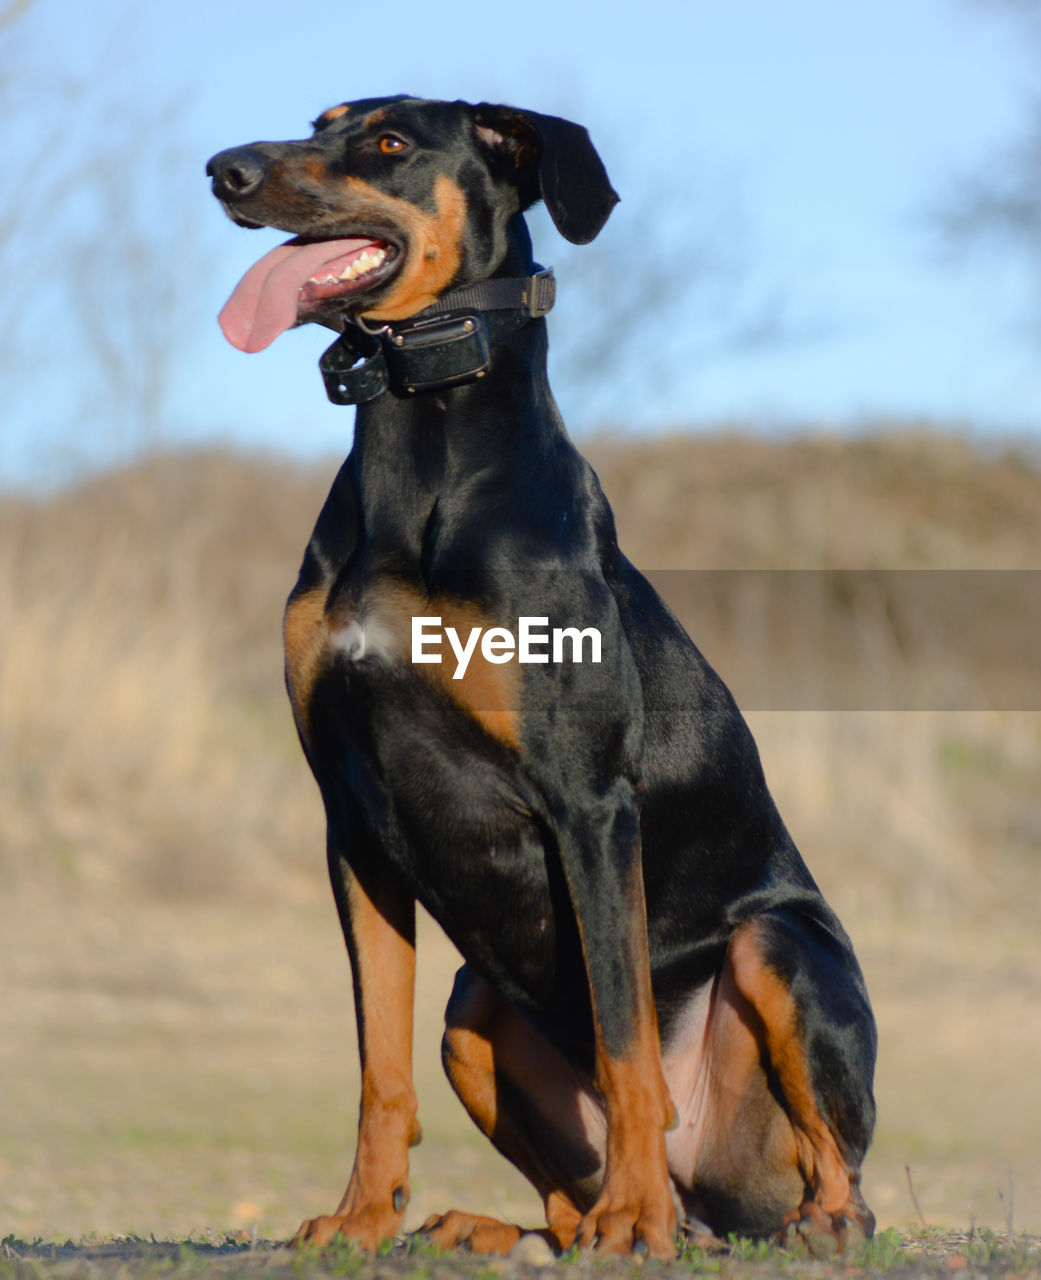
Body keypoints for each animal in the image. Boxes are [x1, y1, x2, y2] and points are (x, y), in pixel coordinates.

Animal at [207, 94, 870, 1254]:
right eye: (317, 120)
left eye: (386, 141)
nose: (223, 171)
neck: (418, 449)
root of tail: (717, 1201)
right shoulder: (350, 813)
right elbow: (376, 1062)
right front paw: (360, 1218)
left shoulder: (588, 802)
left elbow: (626, 1038)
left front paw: (633, 1223)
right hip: (473, 1005)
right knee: (558, 1187)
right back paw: (503, 1225)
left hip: (777, 947)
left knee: (836, 1166)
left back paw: (756, 1219)